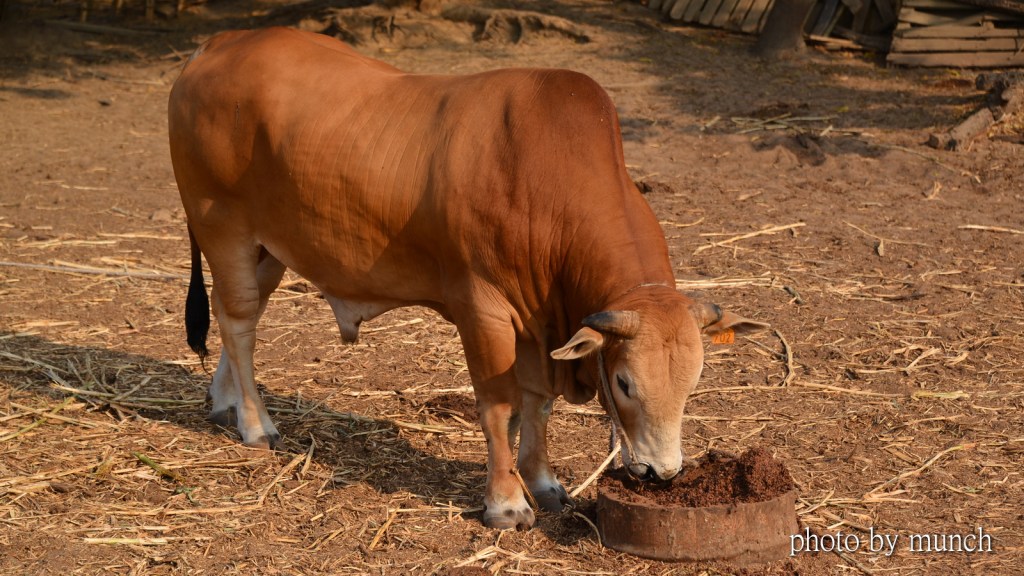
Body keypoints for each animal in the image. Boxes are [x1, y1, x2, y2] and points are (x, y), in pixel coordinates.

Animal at [168, 27, 767, 530]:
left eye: (694, 381)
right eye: (623, 383)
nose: (662, 473)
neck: (543, 182)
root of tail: (214, 46)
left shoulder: (540, 323)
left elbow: (537, 402)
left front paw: (543, 480)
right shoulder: (483, 310)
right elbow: (499, 407)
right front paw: (506, 501)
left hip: (270, 247)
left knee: (237, 314)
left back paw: (223, 401)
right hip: (223, 227)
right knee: (238, 320)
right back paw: (254, 423)